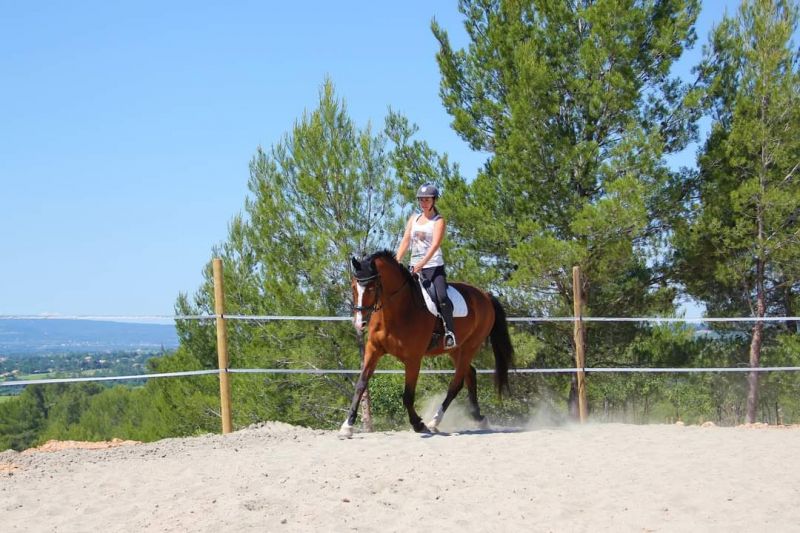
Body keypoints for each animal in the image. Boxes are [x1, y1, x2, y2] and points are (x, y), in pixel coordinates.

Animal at [338, 249, 512, 436]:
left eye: (371, 287)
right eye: (353, 287)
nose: (359, 323)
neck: (397, 311)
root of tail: (485, 295)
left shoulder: (413, 358)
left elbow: (407, 395)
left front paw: (418, 424)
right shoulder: (373, 349)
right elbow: (361, 385)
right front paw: (347, 425)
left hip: (470, 346)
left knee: (456, 383)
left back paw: (434, 421)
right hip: (455, 349)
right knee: (470, 374)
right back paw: (478, 417)